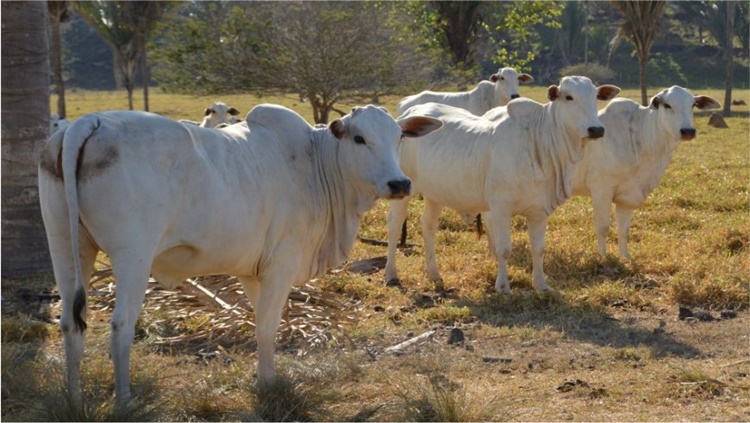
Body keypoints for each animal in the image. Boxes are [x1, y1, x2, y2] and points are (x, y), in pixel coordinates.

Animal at [38, 104, 444, 410]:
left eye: (399, 137)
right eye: (359, 138)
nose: (399, 183)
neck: (316, 163)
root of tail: (90, 121)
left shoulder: (252, 272)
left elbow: (260, 322)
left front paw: (264, 377)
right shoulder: (281, 265)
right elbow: (268, 326)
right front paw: (269, 385)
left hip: (65, 246)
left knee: (71, 323)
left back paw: (73, 401)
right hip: (132, 256)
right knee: (120, 327)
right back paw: (124, 404)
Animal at [388, 76, 624, 294]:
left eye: (595, 96)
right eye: (568, 97)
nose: (596, 129)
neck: (540, 141)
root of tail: (409, 114)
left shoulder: (539, 211)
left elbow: (538, 249)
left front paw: (541, 285)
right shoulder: (501, 208)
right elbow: (504, 249)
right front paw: (502, 286)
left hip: (435, 194)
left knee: (428, 226)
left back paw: (434, 275)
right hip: (405, 190)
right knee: (395, 225)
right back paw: (391, 274)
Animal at [576, 86, 724, 258]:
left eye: (693, 105)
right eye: (667, 105)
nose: (688, 131)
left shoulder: (628, 196)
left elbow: (623, 230)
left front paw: (625, 257)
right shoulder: (601, 189)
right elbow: (603, 228)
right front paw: (603, 257)